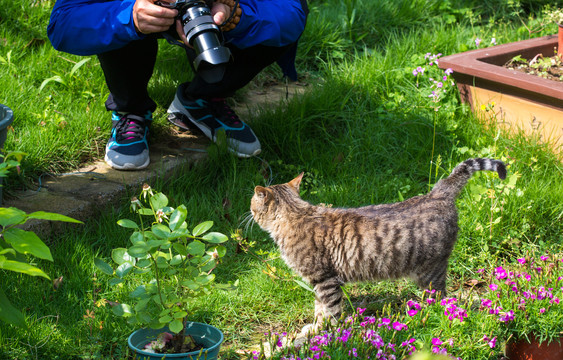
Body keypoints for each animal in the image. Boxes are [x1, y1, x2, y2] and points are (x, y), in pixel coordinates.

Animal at [251, 158, 506, 324]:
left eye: (252, 205)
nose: (250, 213)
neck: (297, 213)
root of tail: (437, 193)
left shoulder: (325, 279)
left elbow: (331, 310)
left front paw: (327, 334)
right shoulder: (319, 282)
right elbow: (319, 307)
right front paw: (315, 327)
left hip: (430, 271)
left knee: (441, 298)